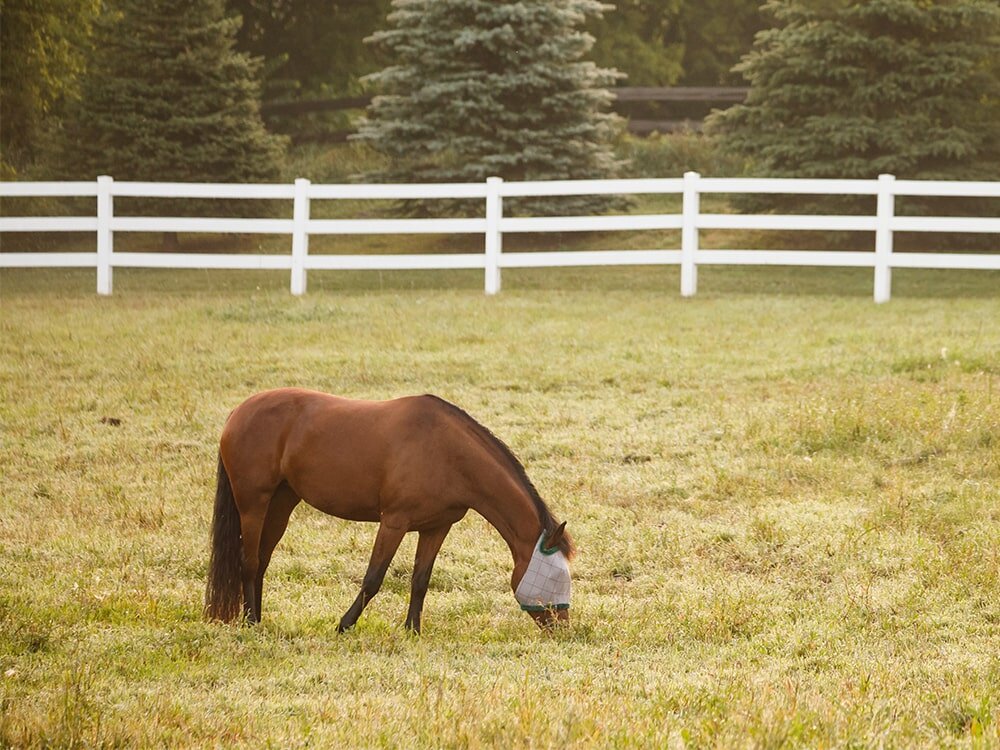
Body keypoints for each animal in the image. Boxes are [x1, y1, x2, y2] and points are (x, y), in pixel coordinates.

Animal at [204, 388, 575, 633]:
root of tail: (238, 412)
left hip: (281, 502)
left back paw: (258, 617)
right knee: (249, 561)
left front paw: (412, 630)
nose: (562, 627)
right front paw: (344, 625)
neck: (447, 452)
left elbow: (420, 580)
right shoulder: (394, 523)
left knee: (262, 558)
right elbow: (373, 578)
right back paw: (251, 622)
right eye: (556, 576)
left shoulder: (436, 527)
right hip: (253, 502)